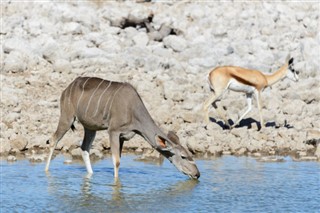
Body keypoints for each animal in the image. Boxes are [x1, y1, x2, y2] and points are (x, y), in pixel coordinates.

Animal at [45, 76, 200, 180]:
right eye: (183, 156)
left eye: (191, 155)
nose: (197, 174)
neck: (133, 111)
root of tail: (66, 89)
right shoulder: (113, 131)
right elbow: (116, 161)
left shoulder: (123, 137)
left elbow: (118, 159)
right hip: (67, 118)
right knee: (53, 140)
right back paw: (46, 171)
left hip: (90, 127)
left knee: (84, 148)